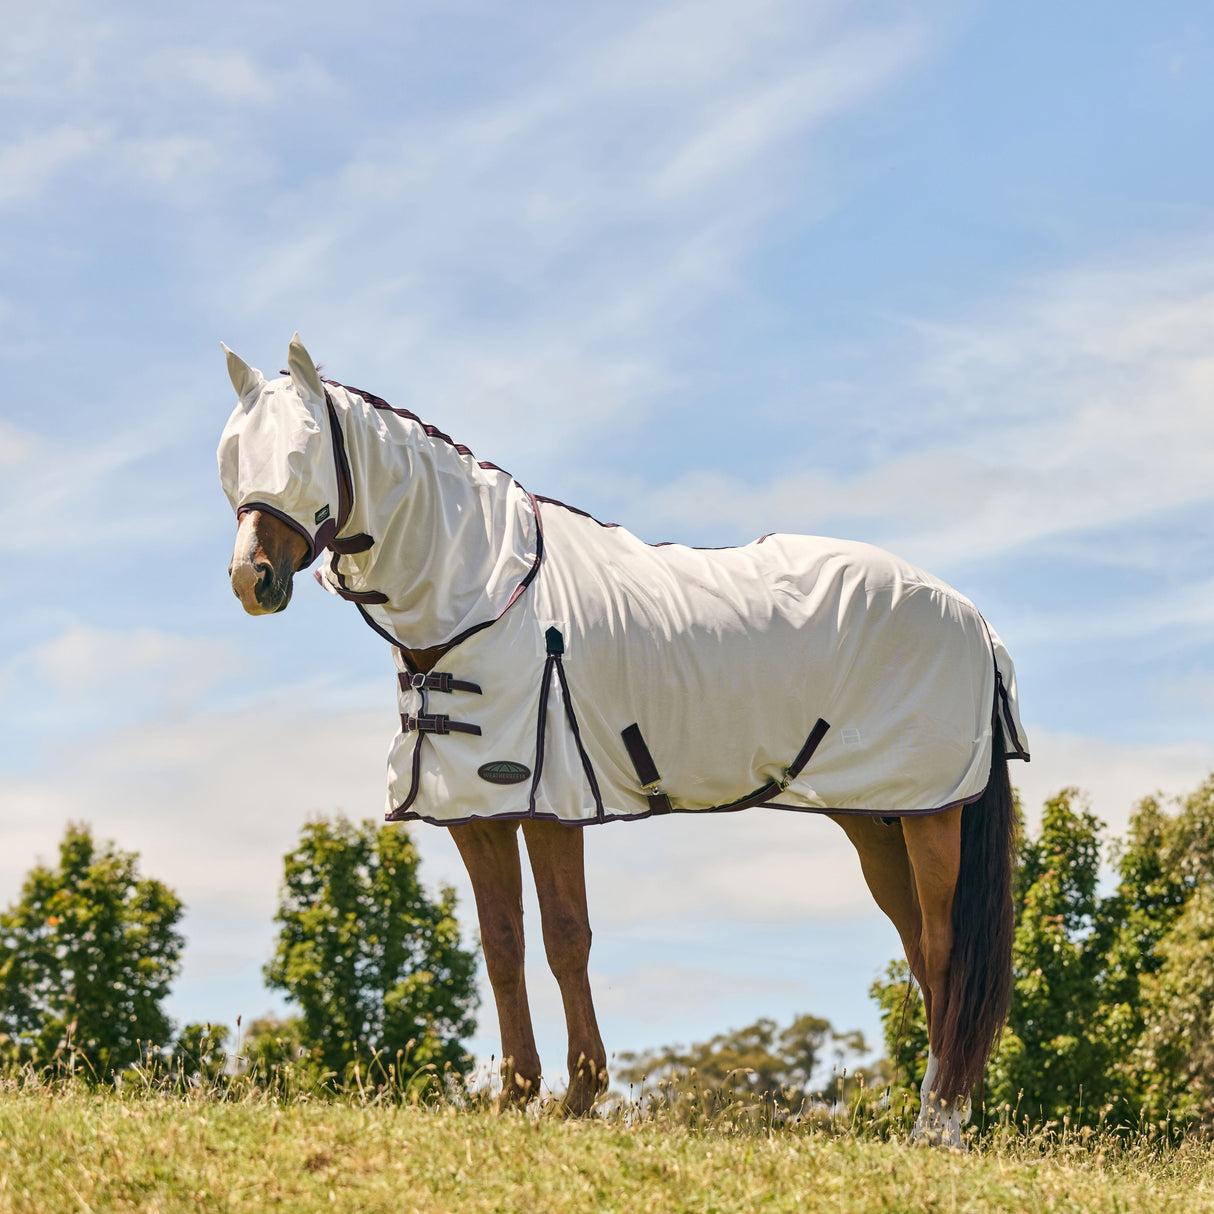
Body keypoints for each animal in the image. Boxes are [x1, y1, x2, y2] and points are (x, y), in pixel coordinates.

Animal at [216, 335, 1024, 1146]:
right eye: (233, 459)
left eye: (302, 455)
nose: (252, 580)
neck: (487, 593)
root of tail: (972, 619)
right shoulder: (476, 810)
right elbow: (502, 943)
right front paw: (515, 1095)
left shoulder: (548, 800)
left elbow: (565, 937)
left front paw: (579, 1094)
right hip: (878, 818)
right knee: (922, 951)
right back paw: (935, 1119)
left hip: (933, 817)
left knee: (946, 955)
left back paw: (939, 1127)